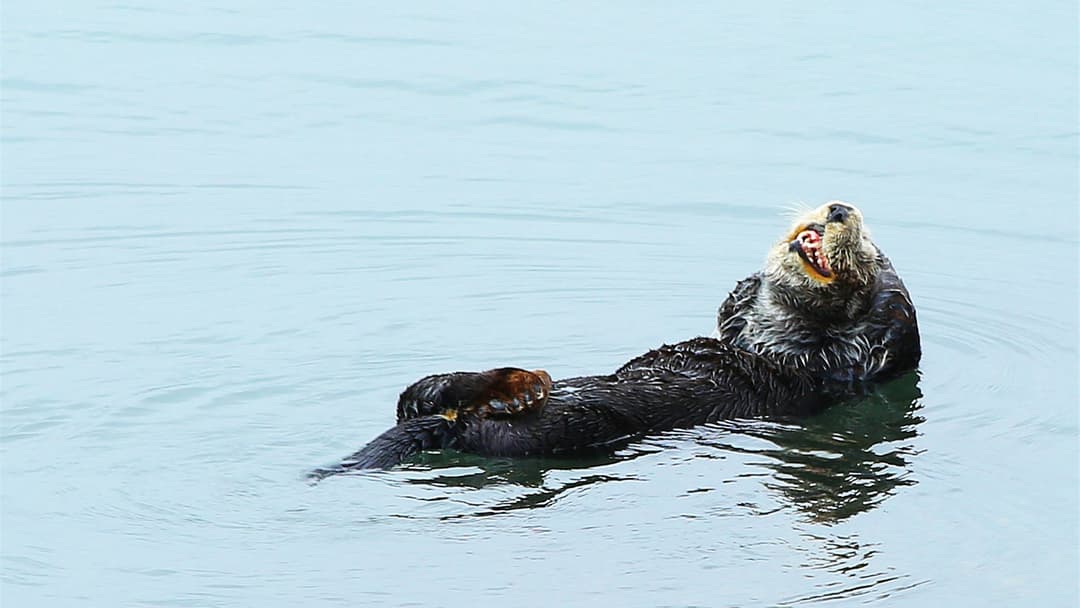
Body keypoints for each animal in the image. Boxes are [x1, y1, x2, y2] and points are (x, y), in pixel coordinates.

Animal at [316, 202, 920, 474]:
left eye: (867, 246)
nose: (839, 209)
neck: (766, 338)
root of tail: (455, 424)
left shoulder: (836, 368)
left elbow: (880, 335)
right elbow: (730, 310)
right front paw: (752, 281)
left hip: (561, 430)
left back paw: (521, 388)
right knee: (421, 393)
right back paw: (513, 383)